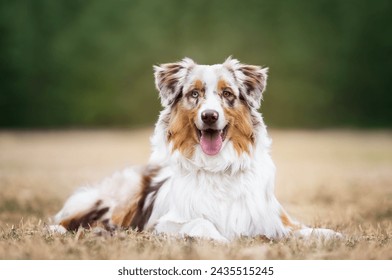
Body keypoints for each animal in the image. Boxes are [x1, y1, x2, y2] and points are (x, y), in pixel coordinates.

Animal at [51, 57, 340, 241]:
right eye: (194, 94)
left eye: (227, 94)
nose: (209, 116)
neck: (218, 168)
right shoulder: (163, 223)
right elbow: (201, 222)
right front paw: (220, 240)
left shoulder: (271, 219)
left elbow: (304, 230)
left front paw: (329, 234)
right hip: (120, 196)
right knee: (68, 219)